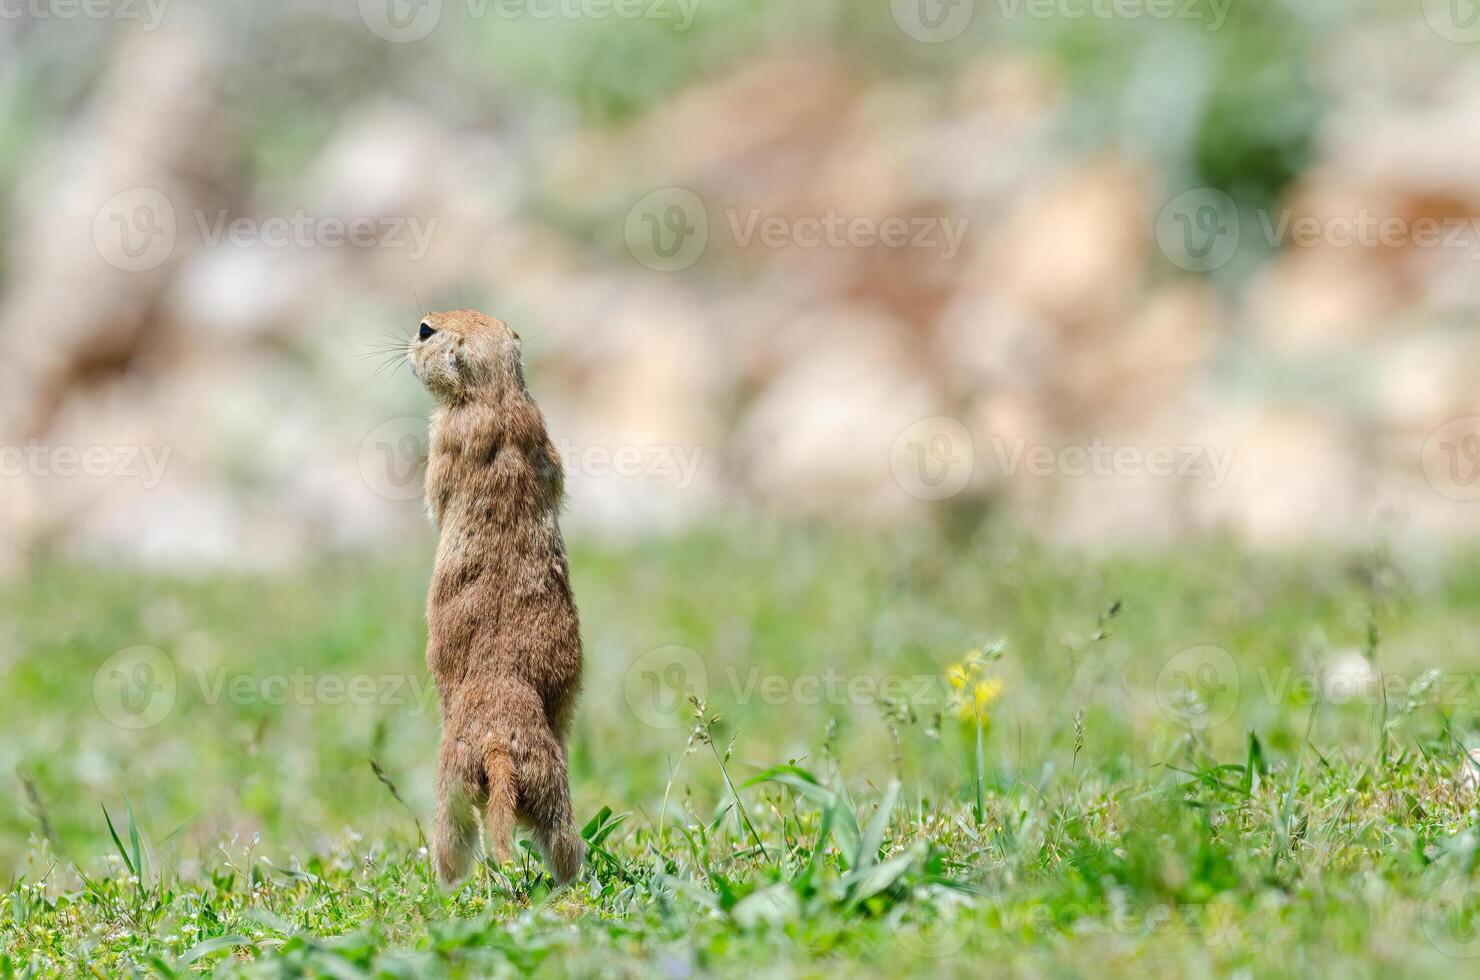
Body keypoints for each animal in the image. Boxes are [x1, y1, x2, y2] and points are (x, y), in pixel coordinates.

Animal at [411, 310, 589, 888]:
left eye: (425, 330)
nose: (410, 339)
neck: (497, 395)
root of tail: (496, 746)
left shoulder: (441, 435)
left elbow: (435, 488)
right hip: (552, 787)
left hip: (450, 787)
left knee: (454, 838)